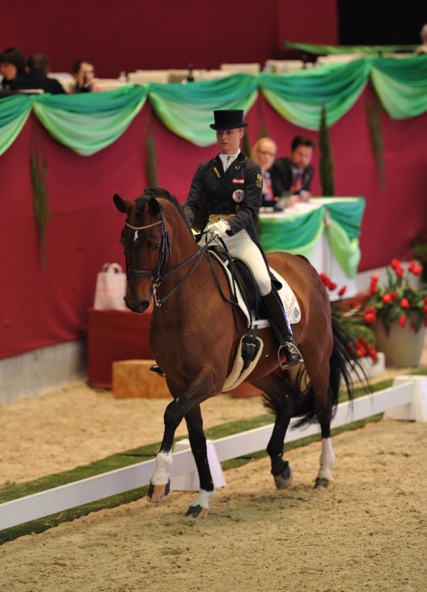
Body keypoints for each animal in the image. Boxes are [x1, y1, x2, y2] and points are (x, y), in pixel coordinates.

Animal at [113, 188, 364, 520]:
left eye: (155, 242)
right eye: (123, 241)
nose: (135, 302)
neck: (184, 300)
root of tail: (301, 262)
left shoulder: (210, 378)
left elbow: (171, 414)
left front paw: (158, 484)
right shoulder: (178, 382)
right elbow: (196, 438)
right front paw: (202, 497)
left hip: (317, 355)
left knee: (323, 407)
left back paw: (323, 474)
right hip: (258, 370)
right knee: (286, 400)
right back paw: (279, 467)